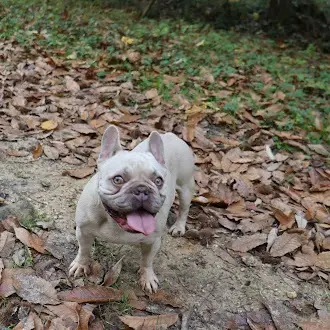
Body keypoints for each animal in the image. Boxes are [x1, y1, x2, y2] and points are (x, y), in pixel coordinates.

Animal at [68, 125, 195, 292]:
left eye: (158, 181)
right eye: (117, 179)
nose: (142, 190)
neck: (114, 223)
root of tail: (170, 135)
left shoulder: (153, 241)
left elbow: (147, 261)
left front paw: (147, 277)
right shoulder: (83, 231)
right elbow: (84, 250)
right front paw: (81, 265)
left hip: (186, 187)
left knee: (184, 208)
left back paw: (179, 226)